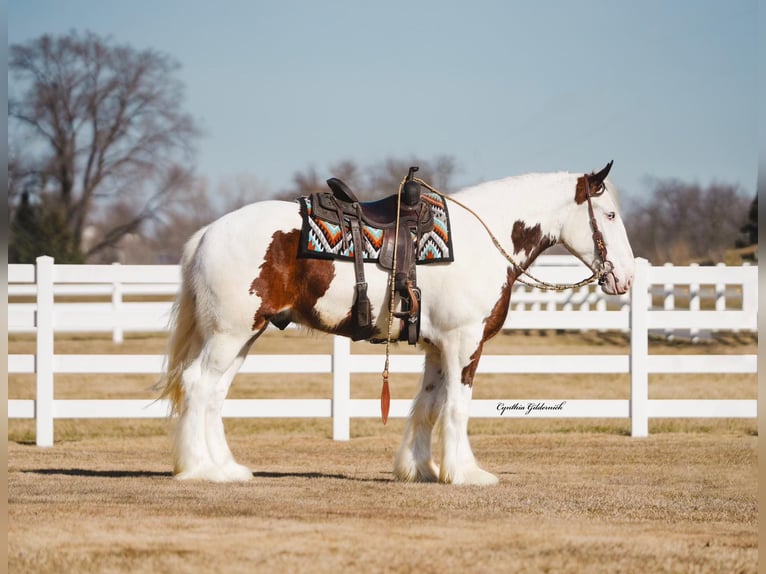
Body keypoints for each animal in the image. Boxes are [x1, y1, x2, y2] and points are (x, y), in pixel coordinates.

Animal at [158, 162, 636, 486]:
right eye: (611, 215)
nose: (626, 277)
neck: (479, 243)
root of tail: (207, 233)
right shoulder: (465, 343)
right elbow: (457, 407)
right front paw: (465, 472)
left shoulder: (438, 347)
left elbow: (428, 406)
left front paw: (421, 468)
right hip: (230, 335)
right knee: (199, 385)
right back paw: (199, 469)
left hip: (242, 337)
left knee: (214, 394)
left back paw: (225, 467)